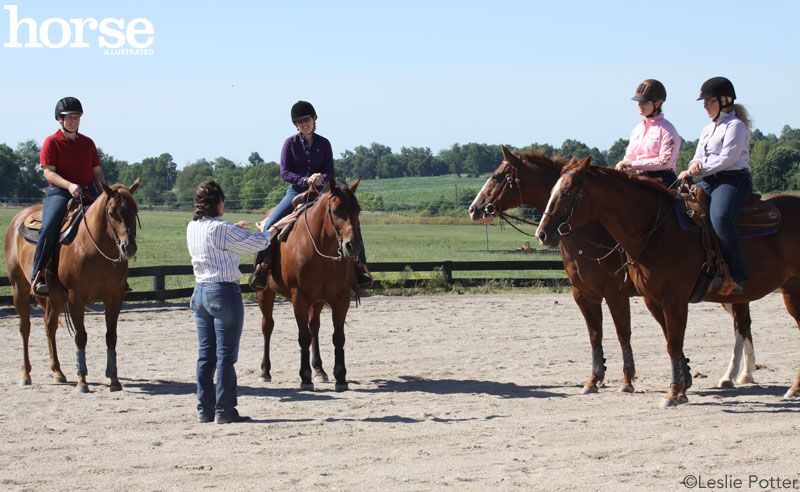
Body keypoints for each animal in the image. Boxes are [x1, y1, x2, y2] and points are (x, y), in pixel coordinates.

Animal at [4, 180, 141, 392]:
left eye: (135, 210)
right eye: (111, 213)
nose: (129, 247)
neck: (93, 248)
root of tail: (19, 218)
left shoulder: (114, 297)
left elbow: (111, 336)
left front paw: (114, 379)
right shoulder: (76, 296)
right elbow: (80, 336)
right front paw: (82, 381)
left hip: (55, 297)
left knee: (50, 326)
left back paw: (57, 372)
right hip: (19, 287)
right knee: (24, 328)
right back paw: (26, 375)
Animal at [256, 179, 362, 390]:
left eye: (358, 210)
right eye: (336, 210)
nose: (352, 246)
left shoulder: (341, 297)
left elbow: (338, 336)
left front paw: (341, 377)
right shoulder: (299, 297)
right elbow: (303, 337)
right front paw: (305, 378)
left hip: (318, 301)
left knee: (314, 327)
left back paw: (319, 370)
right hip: (265, 293)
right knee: (267, 326)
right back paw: (265, 371)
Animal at [468, 148, 756, 394]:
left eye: (497, 176)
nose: (474, 208)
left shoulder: (616, 292)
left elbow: (623, 332)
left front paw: (628, 380)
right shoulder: (584, 294)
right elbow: (596, 334)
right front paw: (595, 379)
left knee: (741, 325)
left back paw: (737, 375)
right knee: (742, 324)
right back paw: (745, 372)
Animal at [536, 159, 800, 408]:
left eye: (567, 192)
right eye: (551, 191)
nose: (542, 233)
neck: (658, 231)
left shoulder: (659, 298)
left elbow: (664, 341)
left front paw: (671, 393)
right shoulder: (635, 298)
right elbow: (659, 340)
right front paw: (682, 386)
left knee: (743, 327)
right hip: (784, 289)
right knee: (744, 326)